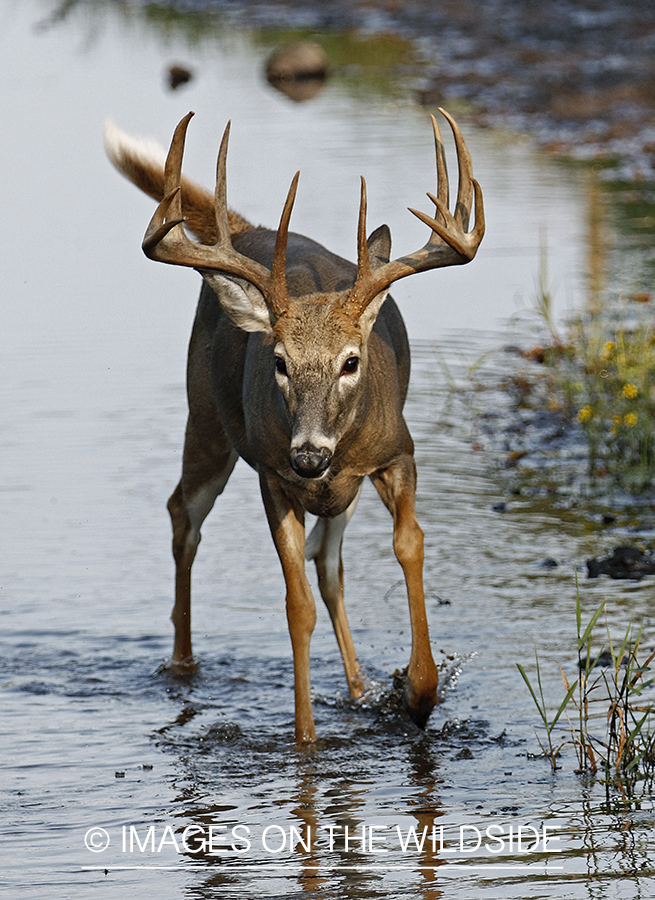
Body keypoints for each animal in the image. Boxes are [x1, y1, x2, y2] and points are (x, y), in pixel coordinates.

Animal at [105, 109, 484, 740]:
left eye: (351, 361)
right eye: (280, 361)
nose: (308, 455)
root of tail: (251, 228)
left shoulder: (397, 451)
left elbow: (408, 545)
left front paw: (419, 690)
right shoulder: (271, 474)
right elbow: (295, 605)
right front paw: (306, 742)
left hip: (334, 490)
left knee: (328, 564)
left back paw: (358, 689)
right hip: (205, 417)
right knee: (185, 515)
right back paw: (182, 665)